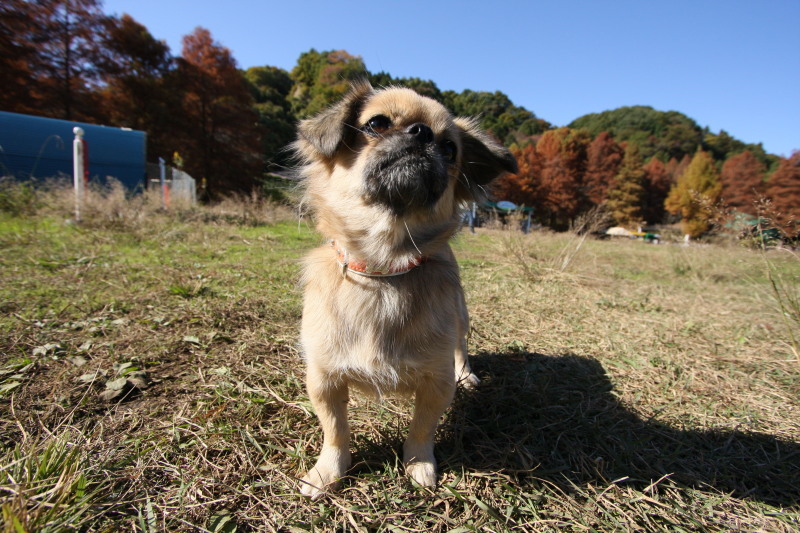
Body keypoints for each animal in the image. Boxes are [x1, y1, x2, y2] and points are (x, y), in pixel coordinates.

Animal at [294, 80, 520, 498]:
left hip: (461, 317)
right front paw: (328, 471)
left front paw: (418, 465)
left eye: (450, 149)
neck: (384, 271)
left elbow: (421, 429)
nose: (422, 133)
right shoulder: (324, 379)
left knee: (461, 347)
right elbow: (335, 431)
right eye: (377, 123)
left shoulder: (436, 383)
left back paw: (468, 374)